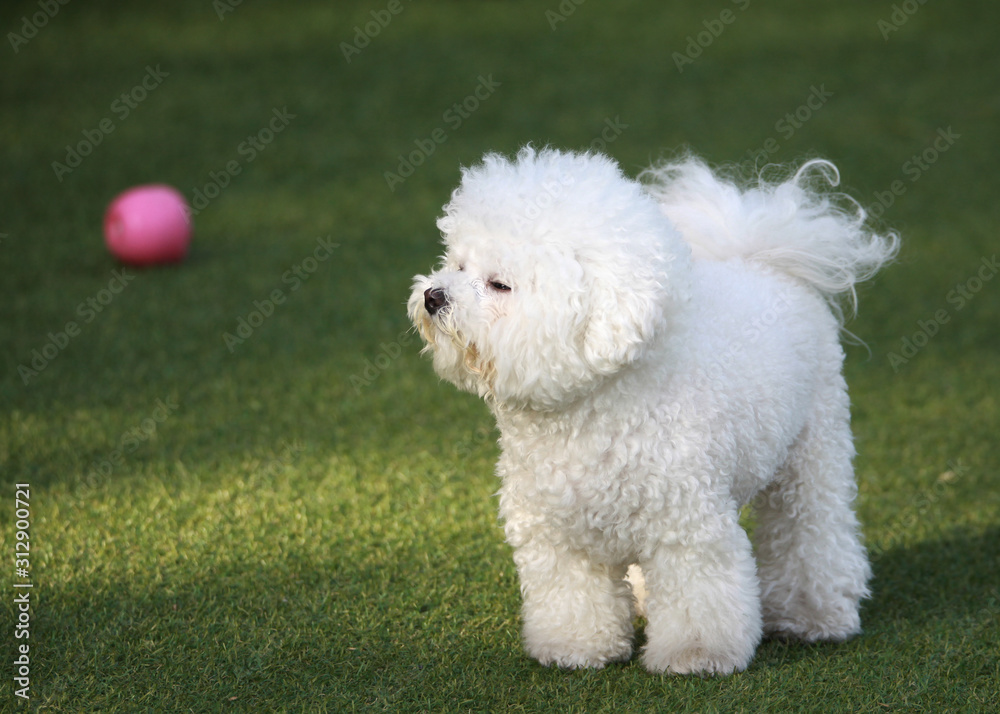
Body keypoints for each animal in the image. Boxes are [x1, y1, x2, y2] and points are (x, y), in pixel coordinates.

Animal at [406, 146, 900, 672]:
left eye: (499, 284)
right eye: (458, 265)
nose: (433, 296)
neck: (590, 411)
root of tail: (758, 259)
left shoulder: (688, 526)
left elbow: (697, 598)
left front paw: (696, 655)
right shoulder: (558, 533)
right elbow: (572, 597)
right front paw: (575, 648)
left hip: (813, 452)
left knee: (812, 534)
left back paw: (815, 616)